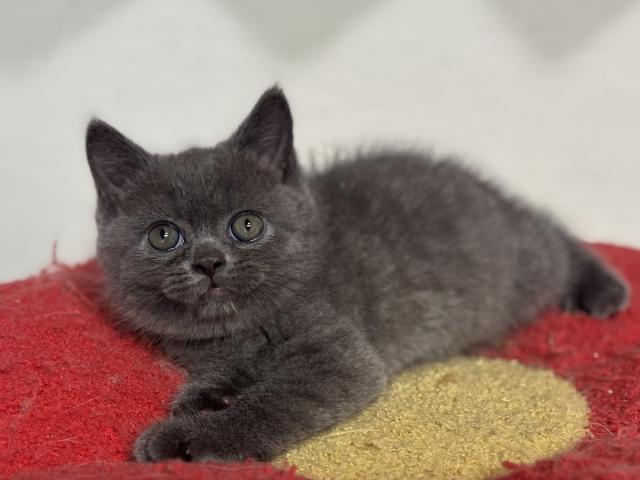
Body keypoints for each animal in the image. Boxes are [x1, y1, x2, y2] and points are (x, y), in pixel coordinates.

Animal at [85, 86, 629, 463]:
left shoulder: (342, 356)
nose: (208, 261)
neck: (237, 330)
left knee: (552, 234)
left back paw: (602, 289)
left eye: (246, 225)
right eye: (164, 236)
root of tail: (487, 190)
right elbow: (229, 376)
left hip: (521, 266)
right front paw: (207, 396)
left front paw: (187, 437)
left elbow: (274, 400)